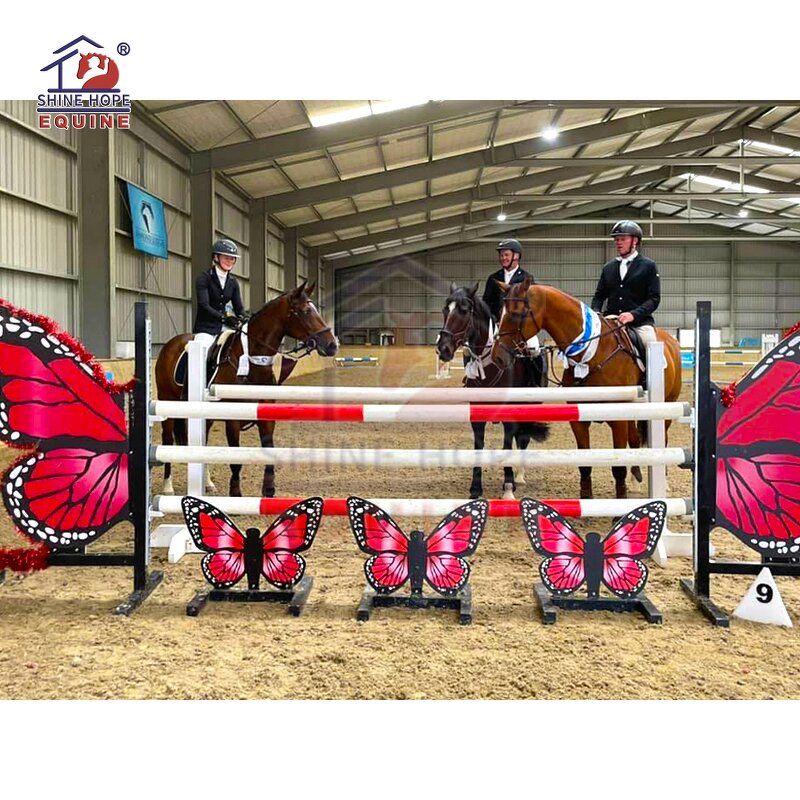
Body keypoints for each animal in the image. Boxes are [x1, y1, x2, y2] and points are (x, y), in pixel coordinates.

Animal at [155, 281, 338, 498]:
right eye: (306, 311)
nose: (332, 345)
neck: (252, 364)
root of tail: (171, 344)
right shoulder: (233, 421)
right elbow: (236, 461)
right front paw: (235, 493)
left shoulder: (266, 418)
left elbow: (268, 451)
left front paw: (268, 490)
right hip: (167, 402)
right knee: (167, 440)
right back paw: (168, 487)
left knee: (203, 442)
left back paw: (207, 483)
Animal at [436, 282, 549, 500]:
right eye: (445, 309)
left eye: (464, 310)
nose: (443, 349)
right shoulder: (477, 415)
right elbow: (478, 446)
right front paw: (475, 489)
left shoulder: (509, 415)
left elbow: (507, 445)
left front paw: (508, 488)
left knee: (523, 438)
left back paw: (519, 477)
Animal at [490, 279, 681, 500]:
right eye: (500, 313)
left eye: (515, 313)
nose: (497, 357)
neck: (592, 353)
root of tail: (670, 340)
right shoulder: (579, 420)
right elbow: (585, 463)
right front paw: (586, 497)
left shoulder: (618, 419)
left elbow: (618, 467)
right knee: (634, 439)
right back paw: (637, 479)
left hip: (665, 408)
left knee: (662, 439)